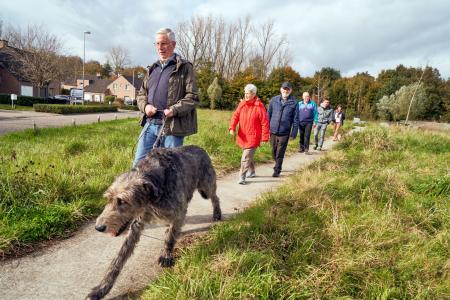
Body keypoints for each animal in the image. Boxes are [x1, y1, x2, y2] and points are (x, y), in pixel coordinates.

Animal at [87, 145, 221, 298]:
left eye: (123, 201)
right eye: (108, 199)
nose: (98, 227)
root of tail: (200, 148)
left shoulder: (179, 212)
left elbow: (170, 237)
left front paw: (166, 255)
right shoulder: (137, 224)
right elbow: (119, 258)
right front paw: (102, 288)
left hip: (206, 186)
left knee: (215, 197)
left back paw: (217, 213)